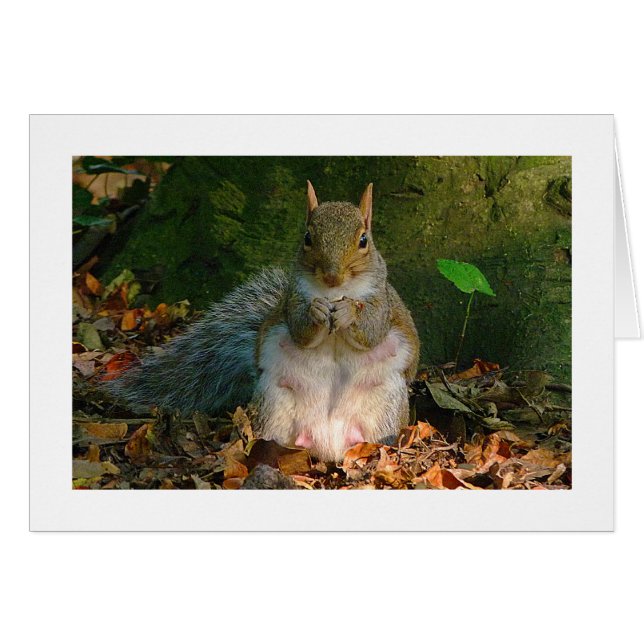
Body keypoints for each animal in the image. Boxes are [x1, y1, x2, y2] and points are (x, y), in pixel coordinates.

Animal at [109, 181, 420, 461]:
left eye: (363, 240)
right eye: (307, 238)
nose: (332, 276)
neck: (333, 292)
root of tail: (328, 444)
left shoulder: (383, 303)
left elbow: (372, 329)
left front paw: (348, 313)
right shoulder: (293, 300)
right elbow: (300, 329)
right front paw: (317, 311)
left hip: (385, 404)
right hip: (274, 402)